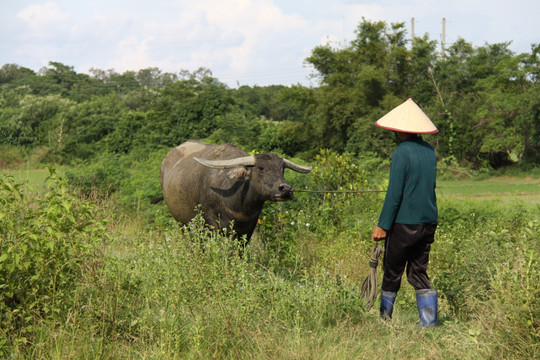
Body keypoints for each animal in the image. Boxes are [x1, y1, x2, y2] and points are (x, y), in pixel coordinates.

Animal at [152, 140, 312, 242]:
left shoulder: (248, 229)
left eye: (282, 169)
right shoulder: (213, 225)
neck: (239, 204)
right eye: (261, 167)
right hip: (183, 225)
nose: (286, 189)